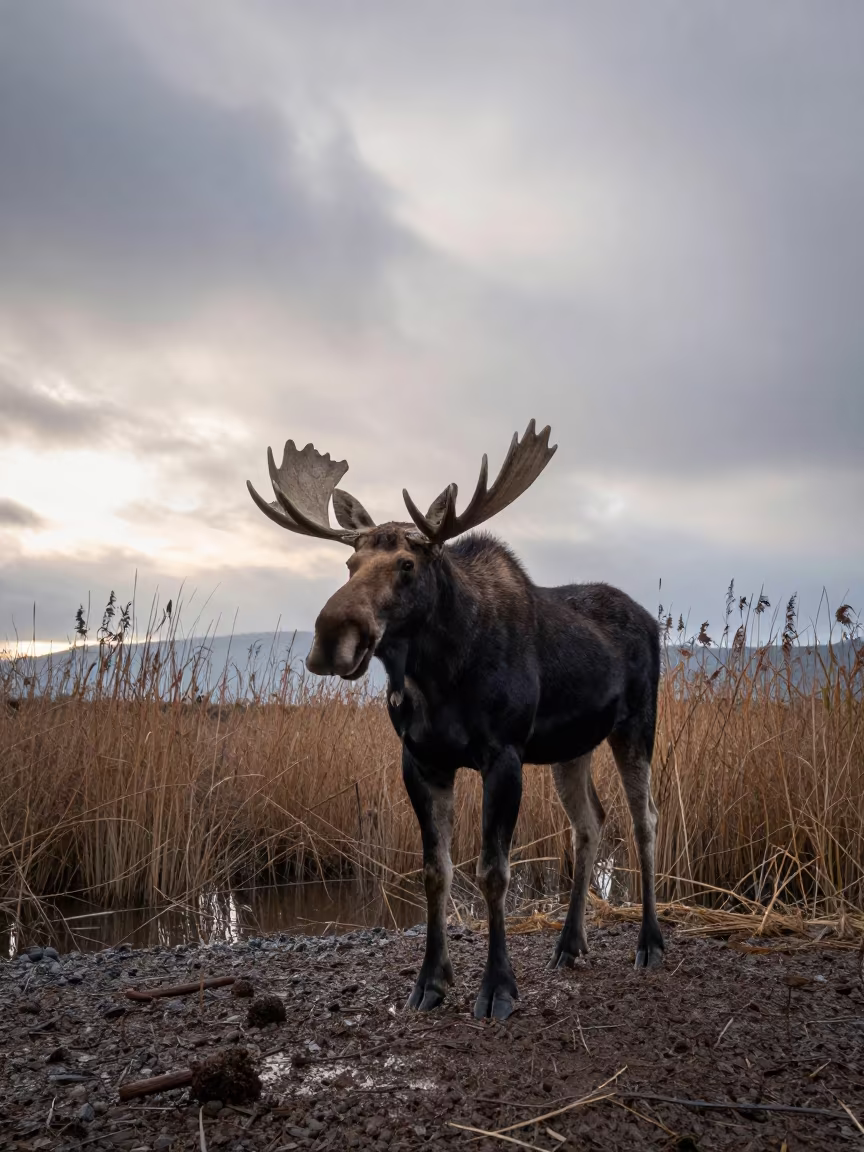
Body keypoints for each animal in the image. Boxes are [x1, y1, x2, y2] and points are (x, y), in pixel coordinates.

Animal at [248, 421, 664, 1020]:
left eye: (407, 565)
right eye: (349, 565)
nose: (330, 639)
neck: (438, 677)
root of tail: (653, 622)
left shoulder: (504, 754)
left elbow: (493, 872)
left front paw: (497, 987)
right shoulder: (422, 760)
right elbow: (435, 872)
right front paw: (431, 981)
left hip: (636, 724)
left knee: (644, 819)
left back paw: (650, 941)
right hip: (572, 746)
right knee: (590, 823)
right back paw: (569, 944)